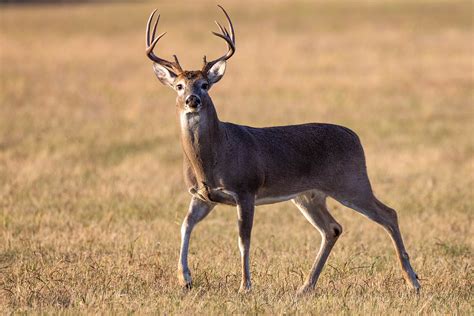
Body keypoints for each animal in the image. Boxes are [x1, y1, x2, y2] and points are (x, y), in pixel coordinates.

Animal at [143, 6, 418, 296]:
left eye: (205, 84)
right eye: (179, 85)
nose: (192, 100)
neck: (212, 157)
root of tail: (355, 137)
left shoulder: (246, 189)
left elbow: (244, 239)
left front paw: (245, 286)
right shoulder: (203, 195)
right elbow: (185, 225)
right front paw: (184, 278)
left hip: (351, 181)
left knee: (389, 214)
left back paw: (413, 281)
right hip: (309, 194)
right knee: (332, 228)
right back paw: (305, 287)